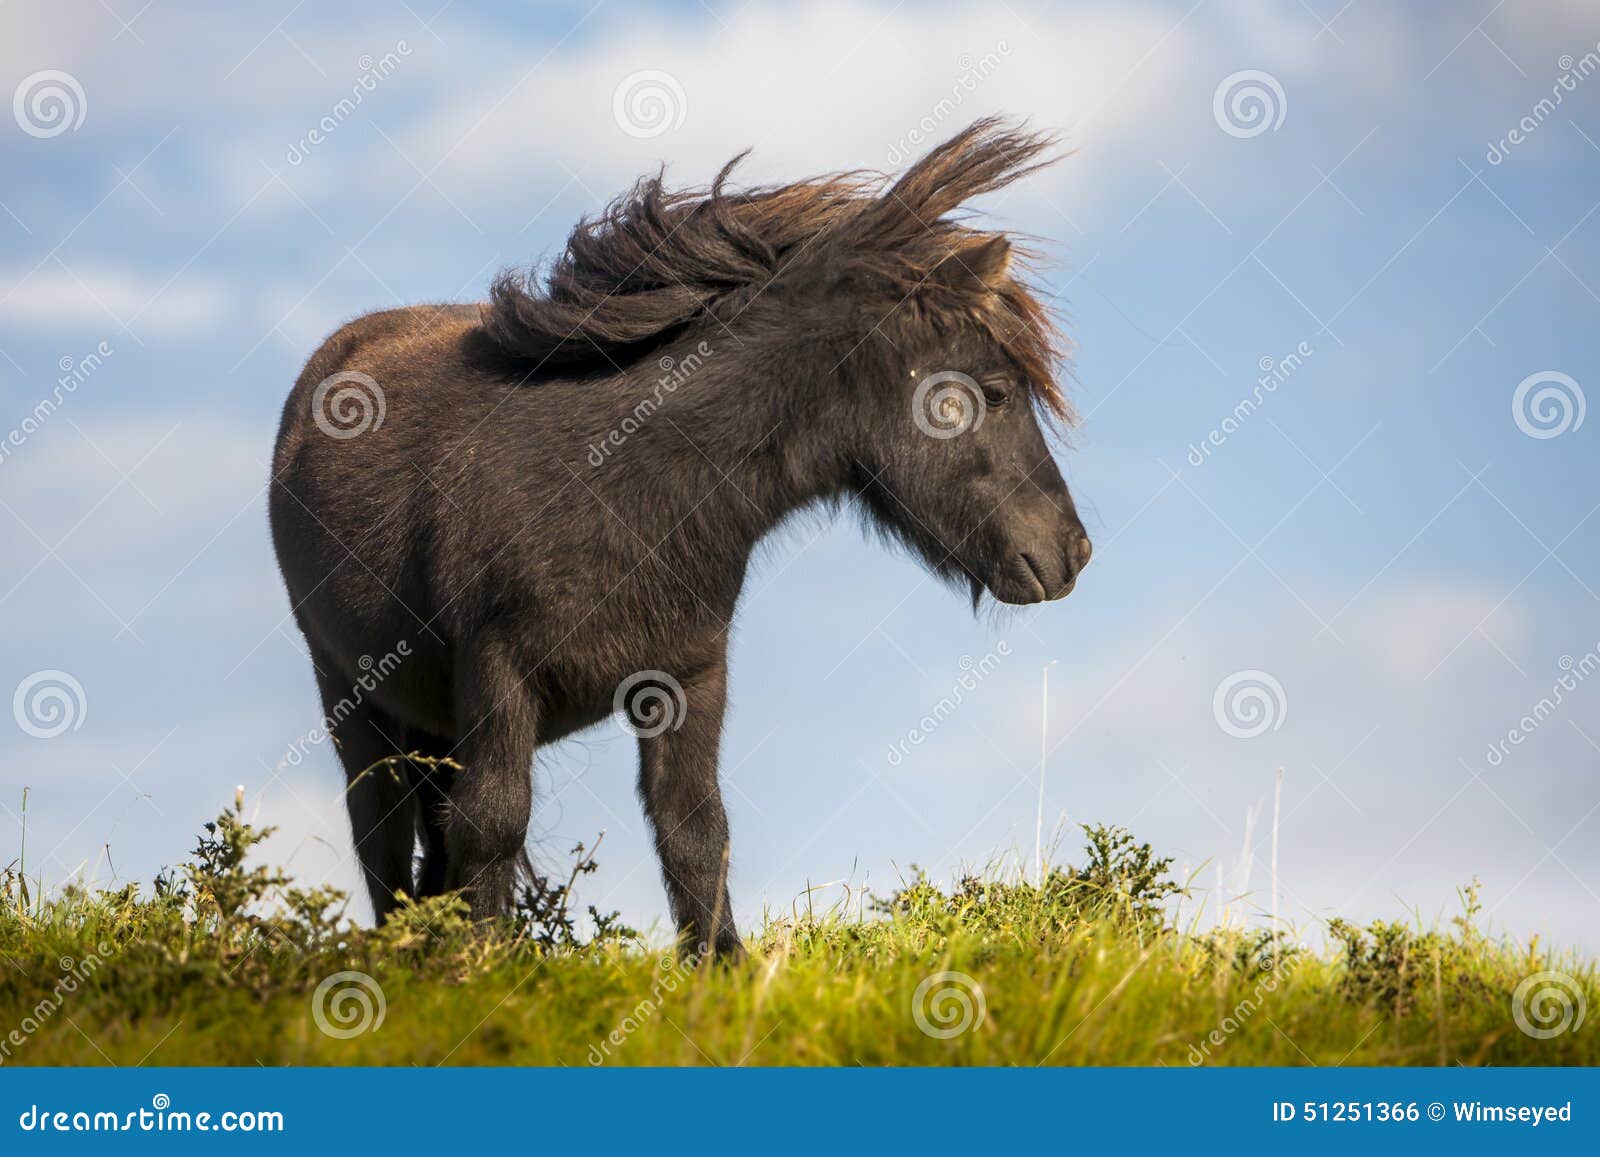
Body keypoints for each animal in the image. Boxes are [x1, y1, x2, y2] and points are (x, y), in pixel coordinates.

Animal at [272, 117, 1088, 953]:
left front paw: (720, 969)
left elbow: (695, 831)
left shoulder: (688, 677)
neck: (618, 486)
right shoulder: (498, 670)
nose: (1069, 552)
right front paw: (480, 967)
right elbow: (493, 824)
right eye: (991, 392)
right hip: (356, 701)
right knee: (384, 836)